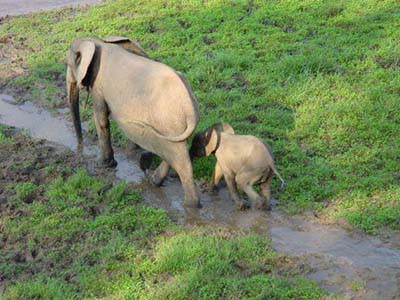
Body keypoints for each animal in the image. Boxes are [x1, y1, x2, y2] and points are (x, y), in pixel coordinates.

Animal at [67, 36, 203, 207]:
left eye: (67, 65)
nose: (80, 146)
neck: (98, 42)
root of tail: (190, 108)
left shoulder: (99, 86)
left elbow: (101, 119)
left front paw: (102, 165)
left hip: (168, 122)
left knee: (179, 158)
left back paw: (190, 204)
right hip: (176, 127)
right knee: (176, 152)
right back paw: (152, 179)